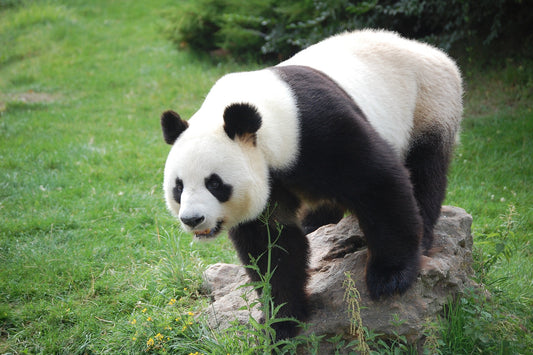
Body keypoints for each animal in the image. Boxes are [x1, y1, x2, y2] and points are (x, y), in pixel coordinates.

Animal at [159, 29, 462, 340]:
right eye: (178, 187)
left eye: (215, 183)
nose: (193, 219)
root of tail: (428, 49)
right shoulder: (271, 182)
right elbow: (271, 245)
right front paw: (282, 320)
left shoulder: (317, 130)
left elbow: (378, 183)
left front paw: (390, 277)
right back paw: (315, 224)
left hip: (428, 104)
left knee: (424, 171)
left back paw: (423, 234)